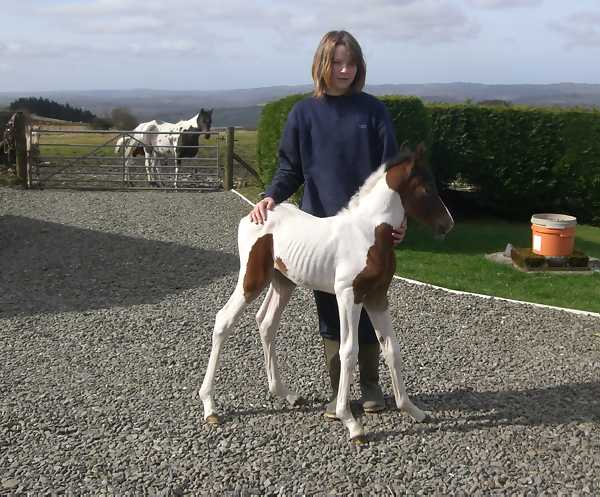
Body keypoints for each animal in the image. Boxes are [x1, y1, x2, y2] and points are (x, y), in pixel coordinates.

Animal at [199, 143, 455, 444]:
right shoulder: (348, 295)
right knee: (223, 320)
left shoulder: (378, 296)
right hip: (251, 279)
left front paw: (412, 410)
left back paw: (286, 394)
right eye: (426, 187)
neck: (368, 234)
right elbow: (348, 350)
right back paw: (209, 406)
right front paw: (351, 423)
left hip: (283, 282)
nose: (448, 224)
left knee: (266, 322)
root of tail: (253, 214)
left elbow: (391, 348)